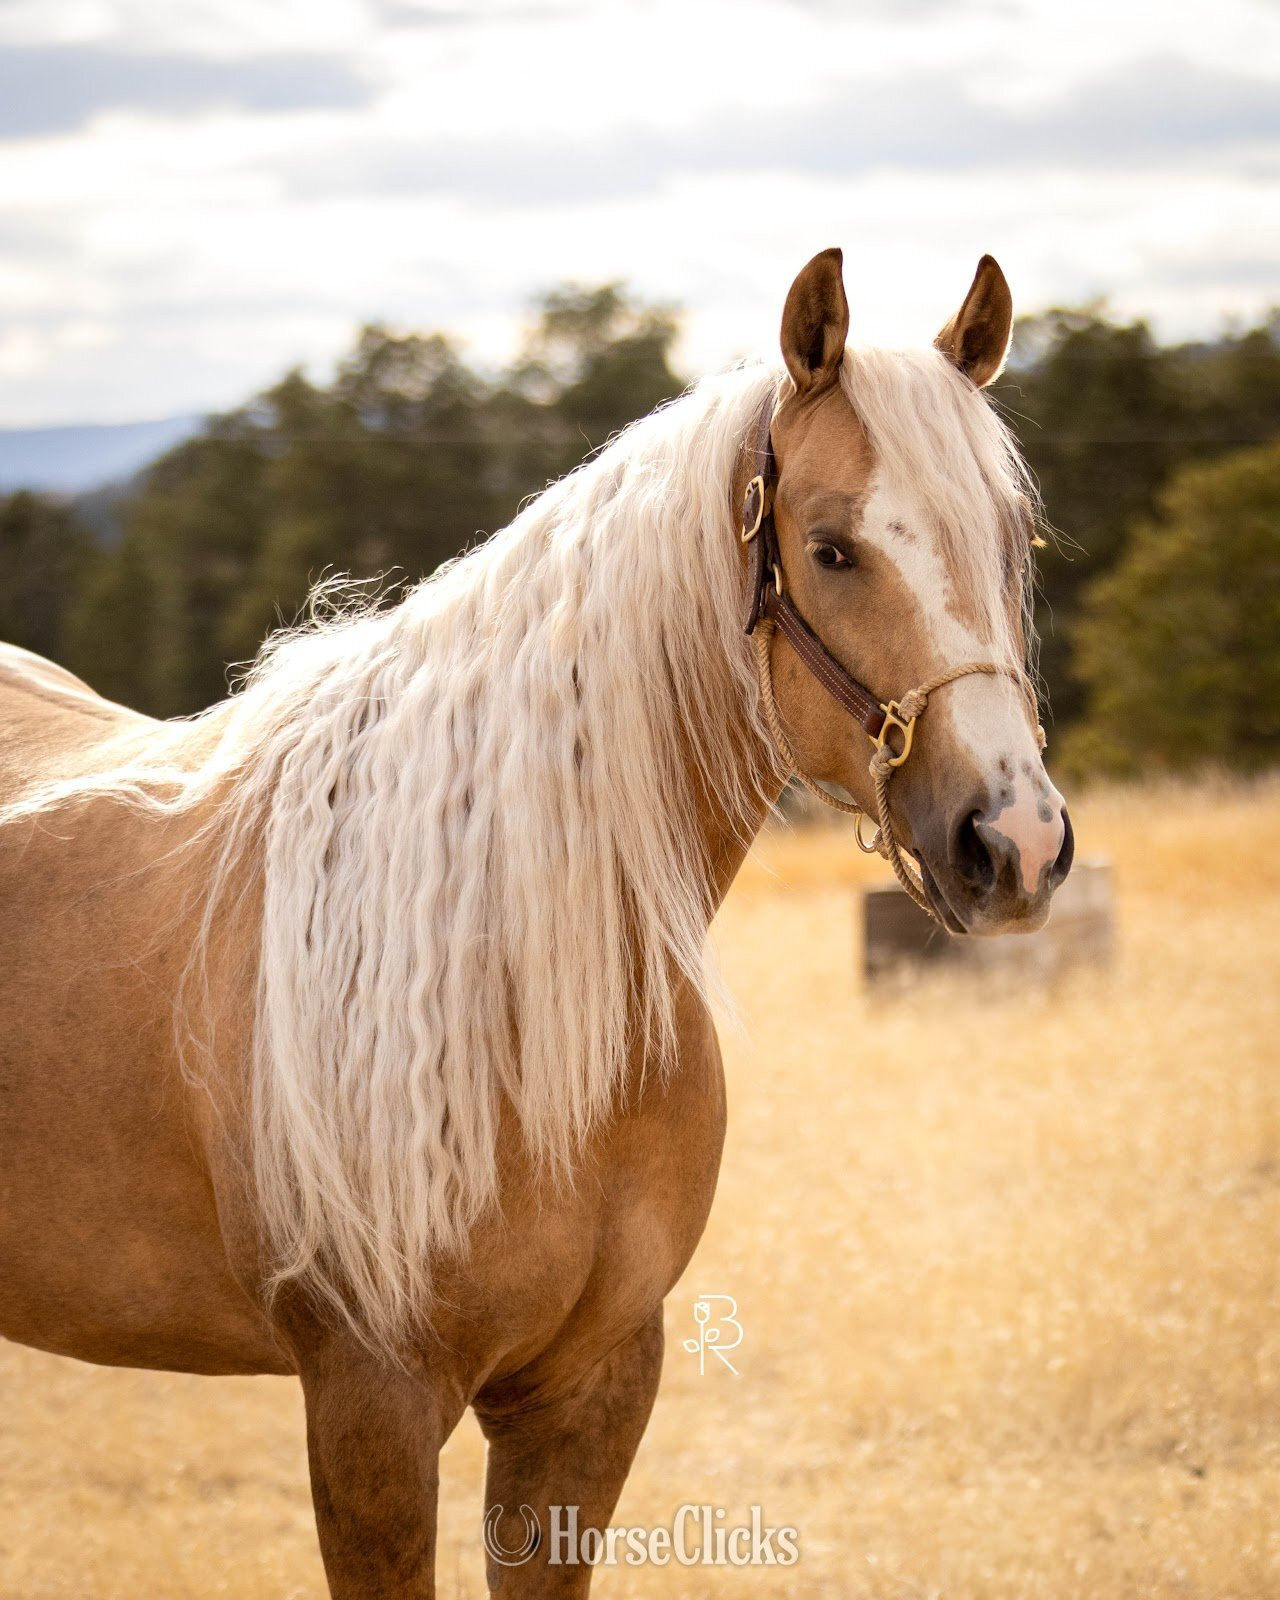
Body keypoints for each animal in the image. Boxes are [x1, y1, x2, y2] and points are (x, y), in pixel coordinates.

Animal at [0, 248, 1072, 1597]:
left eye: (1012, 538)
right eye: (829, 549)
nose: (1015, 842)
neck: (490, 963)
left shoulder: (592, 1384)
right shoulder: (370, 1404)